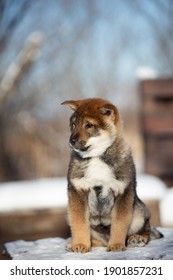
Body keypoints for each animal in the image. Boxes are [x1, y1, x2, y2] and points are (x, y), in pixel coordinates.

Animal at [61, 97, 162, 253]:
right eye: (73, 124)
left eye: (89, 125)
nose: (71, 141)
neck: (97, 157)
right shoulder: (77, 192)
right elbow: (80, 224)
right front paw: (80, 245)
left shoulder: (123, 191)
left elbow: (119, 224)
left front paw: (116, 245)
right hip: (68, 212)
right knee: (97, 239)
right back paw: (75, 244)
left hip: (139, 211)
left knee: (147, 229)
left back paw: (137, 239)